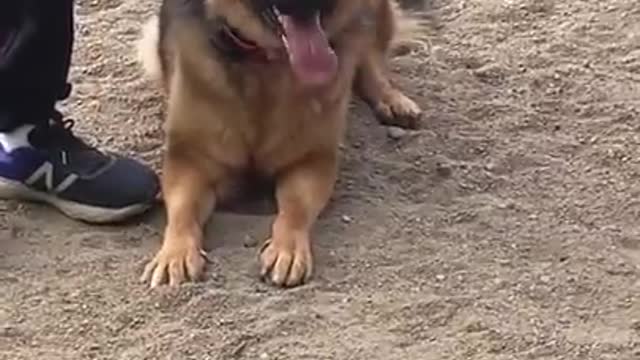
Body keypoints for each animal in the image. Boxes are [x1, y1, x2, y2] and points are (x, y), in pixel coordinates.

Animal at [137, 0, 422, 286]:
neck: (264, 60)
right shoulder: (189, 159)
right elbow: (182, 209)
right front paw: (175, 254)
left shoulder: (312, 160)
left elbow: (295, 205)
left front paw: (288, 249)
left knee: (369, 54)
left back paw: (392, 99)